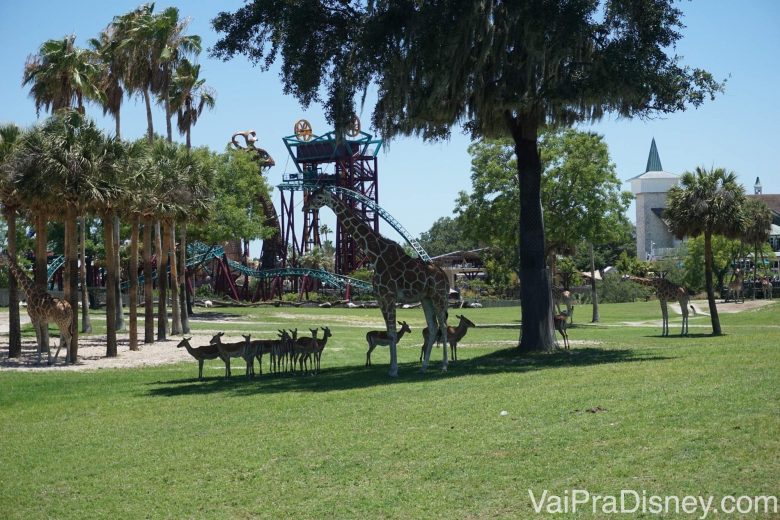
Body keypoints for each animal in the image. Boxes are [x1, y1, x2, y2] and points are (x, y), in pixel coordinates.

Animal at [304, 189, 450, 376]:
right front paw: (391, 368)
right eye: (312, 193)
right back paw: (423, 367)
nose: (305, 207)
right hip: (426, 299)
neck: (375, 255)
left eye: (319, 196)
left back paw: (444, 366)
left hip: (439, 297)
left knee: (443, 327)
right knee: (432, 328)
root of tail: (444, 275)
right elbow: (389, 333)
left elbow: (393, 334)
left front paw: (394, 370)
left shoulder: (389, 296)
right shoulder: (380, 298)